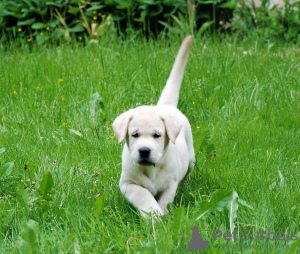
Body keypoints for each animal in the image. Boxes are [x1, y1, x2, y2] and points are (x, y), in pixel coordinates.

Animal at [112, 36, 195, 218]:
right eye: (134, 135)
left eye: (157, 135)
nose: (144, 151)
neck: (151, 170)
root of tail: (165, 106)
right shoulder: (128, 184)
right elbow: (143, 195)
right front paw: (152, 213)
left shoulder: (170, 183)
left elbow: (165, 200)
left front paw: (161, 214)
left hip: (191, 155)